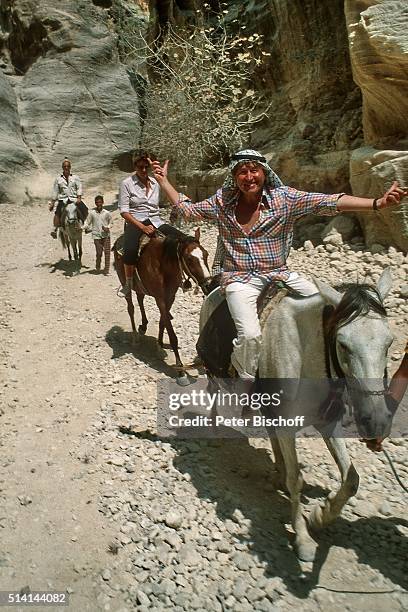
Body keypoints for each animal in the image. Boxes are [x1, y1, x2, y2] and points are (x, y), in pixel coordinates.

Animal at [114, 227, 212, 384]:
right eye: (189, 259)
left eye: (206, 254)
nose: (208, 284)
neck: (163, 266)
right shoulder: (160, 299)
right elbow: (171, 333)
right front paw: (181, 370)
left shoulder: (169, 297)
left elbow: (162, 322)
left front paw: (159, 346)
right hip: (125, 283)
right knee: (131, 308)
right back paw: (135, 337)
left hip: (140, 288)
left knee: (140, 299)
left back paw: (143, 326)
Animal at [258, 270, 396, 560]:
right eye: (343, 345)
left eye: (389, 342)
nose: (376, 422)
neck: (304, 355)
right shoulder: (287, 426)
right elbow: (295, 479)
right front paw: (303, 539)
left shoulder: (328, 421)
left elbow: (352, 479)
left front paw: (320, 516)